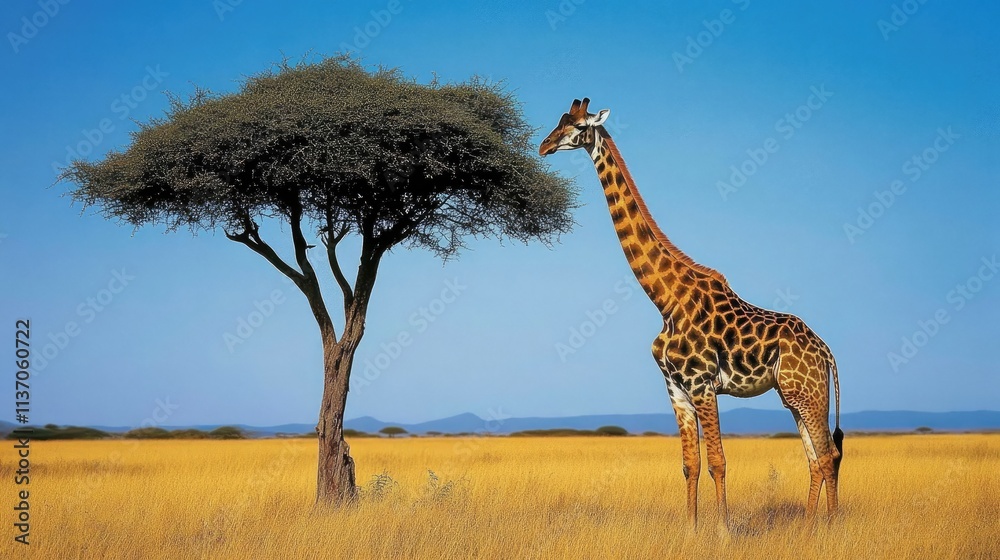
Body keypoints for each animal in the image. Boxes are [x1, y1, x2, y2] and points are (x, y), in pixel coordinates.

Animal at [539, 98, 843, 531]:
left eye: (578, 126)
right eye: (558, 121)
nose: (543, 146)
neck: (665, 299)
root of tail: (827, 352)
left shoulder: (702, 384)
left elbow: (718, 461)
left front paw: (723, 532)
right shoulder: (675, 387)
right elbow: (690, 464)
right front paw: (691, 530)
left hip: (809, 393)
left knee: (827, 454)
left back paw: (829, 527)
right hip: (795, 396)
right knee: (816, 459)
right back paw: (807, 527)